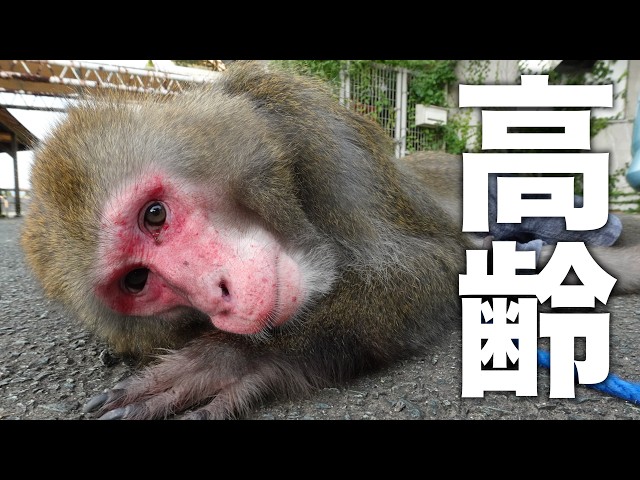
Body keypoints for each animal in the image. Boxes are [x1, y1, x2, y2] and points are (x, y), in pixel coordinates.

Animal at [20, 61, 640, 419]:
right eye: (136, 280)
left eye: (154, 214)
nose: (219, 295)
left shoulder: (316, 130)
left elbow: (438, 264)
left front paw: (240, 358)